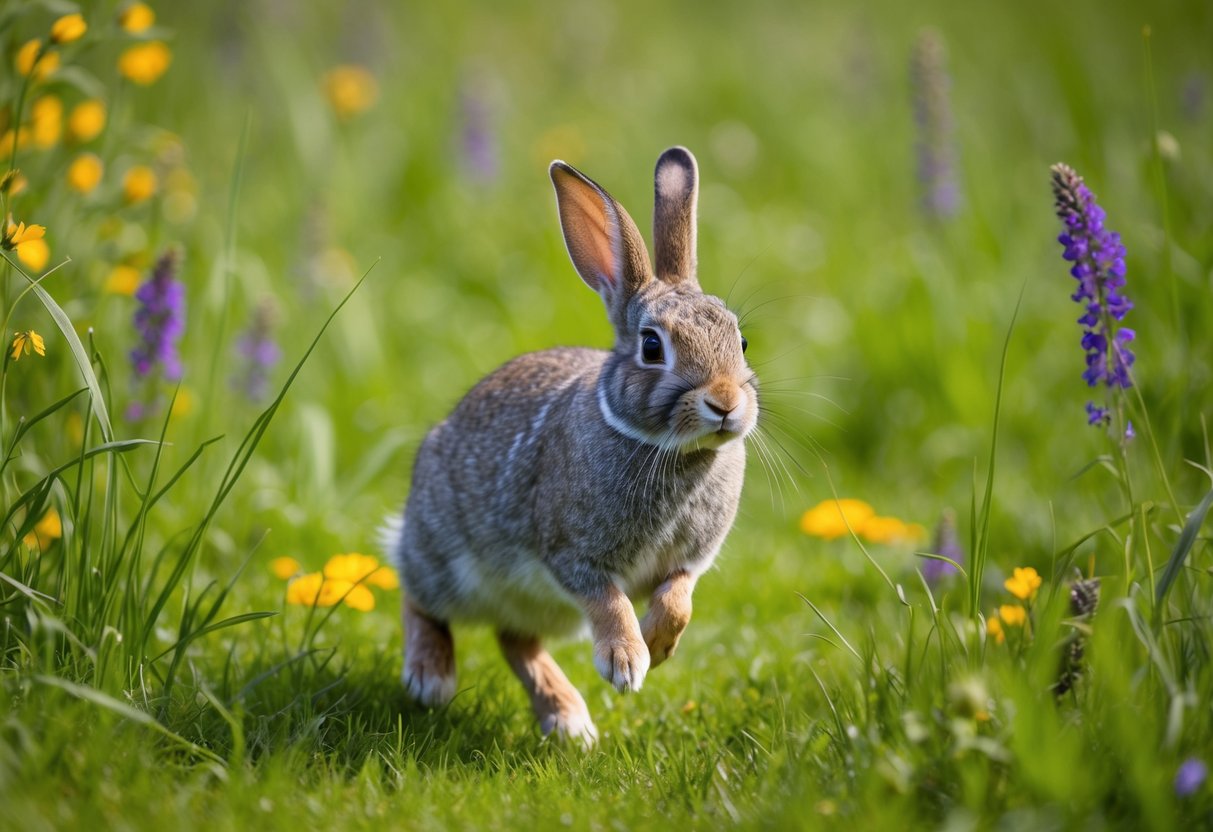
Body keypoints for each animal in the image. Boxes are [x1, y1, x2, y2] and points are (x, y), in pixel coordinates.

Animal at [389, 146, 758, 746]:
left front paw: (658, 645)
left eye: (741, 341)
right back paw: (431, 676)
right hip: (445, 556)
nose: (725, 403)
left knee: (514, 640)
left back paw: (568, 720)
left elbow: (677, 599)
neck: (669, 449)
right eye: (651, 346)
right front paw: (627, 661)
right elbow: (608, 600)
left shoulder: (689, 561)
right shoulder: (572, 554)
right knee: (416, 593)